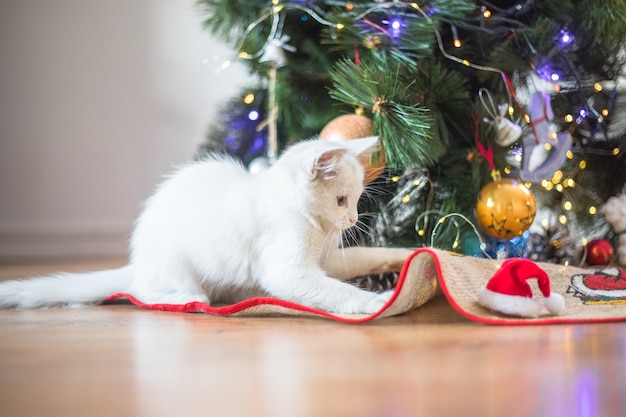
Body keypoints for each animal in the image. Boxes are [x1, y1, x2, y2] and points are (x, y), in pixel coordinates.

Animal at [0, 136, 410, 312]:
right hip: (174, 266)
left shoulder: (327, 259)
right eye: (341, 199)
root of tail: (139, 262)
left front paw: (410, 252)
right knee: (141, 292)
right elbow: (333, 290)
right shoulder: (289, 268)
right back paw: (188, 299)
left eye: (356, 199)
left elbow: (365, 255)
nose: (353, 218)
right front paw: (377, 301)